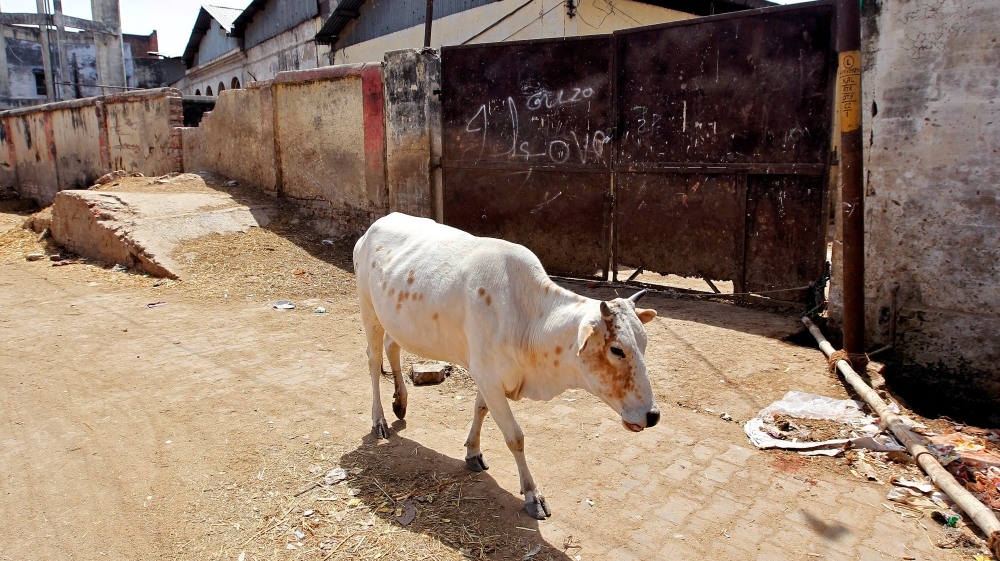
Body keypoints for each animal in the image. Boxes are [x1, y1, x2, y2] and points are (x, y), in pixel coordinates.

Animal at [353, 213, 659, 520]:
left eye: (644, 343)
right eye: (617, 350)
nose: (653, 415)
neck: (526, 315)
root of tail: (373, 227)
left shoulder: (488, 377)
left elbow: (480, 409)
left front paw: (473, 453)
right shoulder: (488, 377)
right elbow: (515, 437)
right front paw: (533, 494)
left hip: (395, 321)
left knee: (392, 347)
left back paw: (400, 402)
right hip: (369, 312)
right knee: (373, 361)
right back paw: (379, 420)